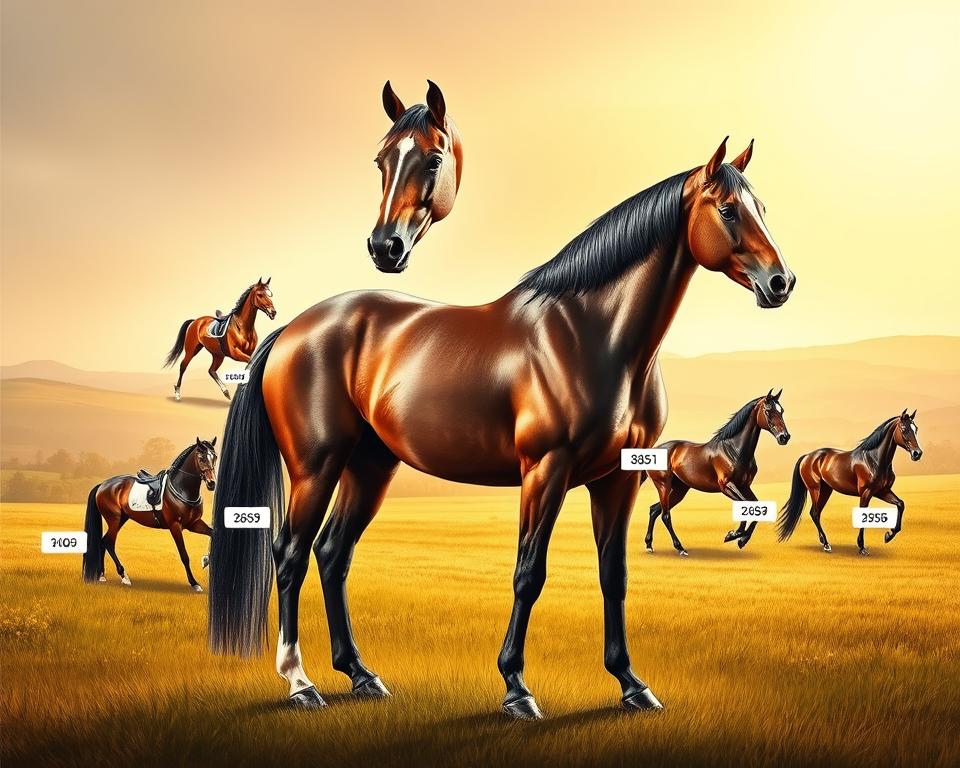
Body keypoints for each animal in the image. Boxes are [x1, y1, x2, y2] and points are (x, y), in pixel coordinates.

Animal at [81, 438, 218, 591]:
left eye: (214, 457)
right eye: (201, 458)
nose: (212, 483)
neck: (181, 488)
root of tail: (102, 485)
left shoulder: (194, 524)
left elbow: (213, 534)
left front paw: (206, 560)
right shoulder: (175, 526)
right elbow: (184, 555)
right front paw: (194, 583)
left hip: (122, 518)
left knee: (103, 542)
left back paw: (102, 575)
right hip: (114, 519)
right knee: (108, 542)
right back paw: (124, 576)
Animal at [644, 390, 791, 556]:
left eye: (781, 411)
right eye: (767, 411)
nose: (784, 437)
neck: (735, 450)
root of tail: (654, 450)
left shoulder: (745, 486)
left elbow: (756, 507)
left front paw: (741, 539)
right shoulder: (726, 485)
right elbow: (745, 505)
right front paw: (734, 535)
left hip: (679, 489)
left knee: (654, 510)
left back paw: (649, 545)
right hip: (663, 486)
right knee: (665, 515)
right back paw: (680, 548)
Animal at [777, 410, 922, 555]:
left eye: (916, 429)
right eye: (904, 429)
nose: (917, 453)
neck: (874, 460)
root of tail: (806, 457)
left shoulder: (882, 491)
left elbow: (900, 504)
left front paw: (888, 535)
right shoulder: (866, 493)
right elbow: (863, 516)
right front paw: (862, 547)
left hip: (826, 490)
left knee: (816, 513)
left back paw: (824, 542)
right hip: (815, 490)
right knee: (815, 513)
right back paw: (826, 544)